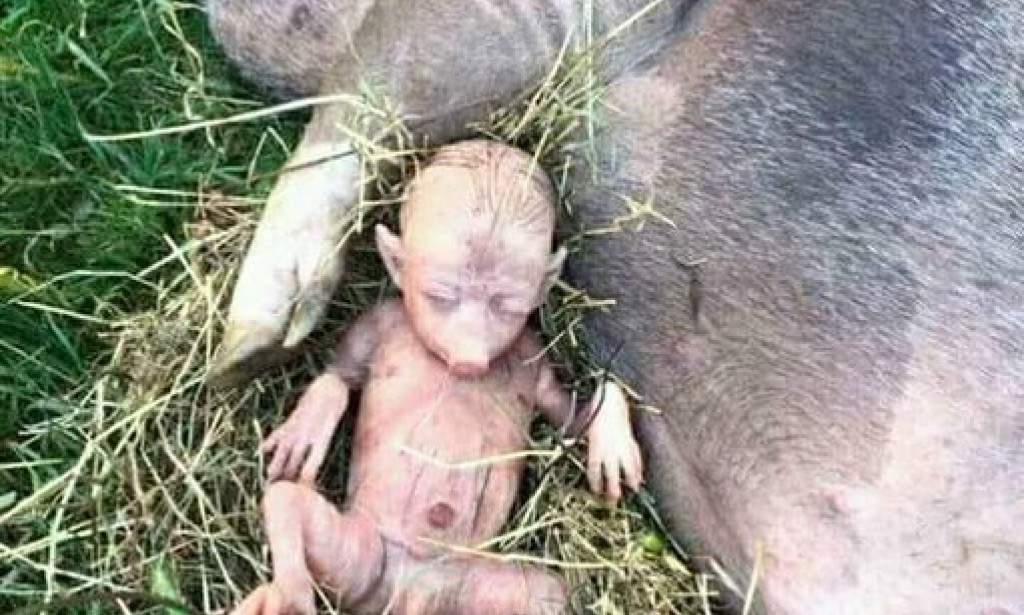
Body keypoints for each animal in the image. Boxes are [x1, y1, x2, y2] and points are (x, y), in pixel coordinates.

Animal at [231, 140, 643, 615]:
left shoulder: (534, 357)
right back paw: (281, 595)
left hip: (475, 585)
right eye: (440, 295)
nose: (469, 361)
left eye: (507, 304)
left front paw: (612, 441)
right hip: (364, 554)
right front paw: (306, 431)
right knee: (287, 500)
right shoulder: (378, 319)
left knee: (550, 591)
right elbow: (339, 374)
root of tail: (407, 596)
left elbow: (572, 416)